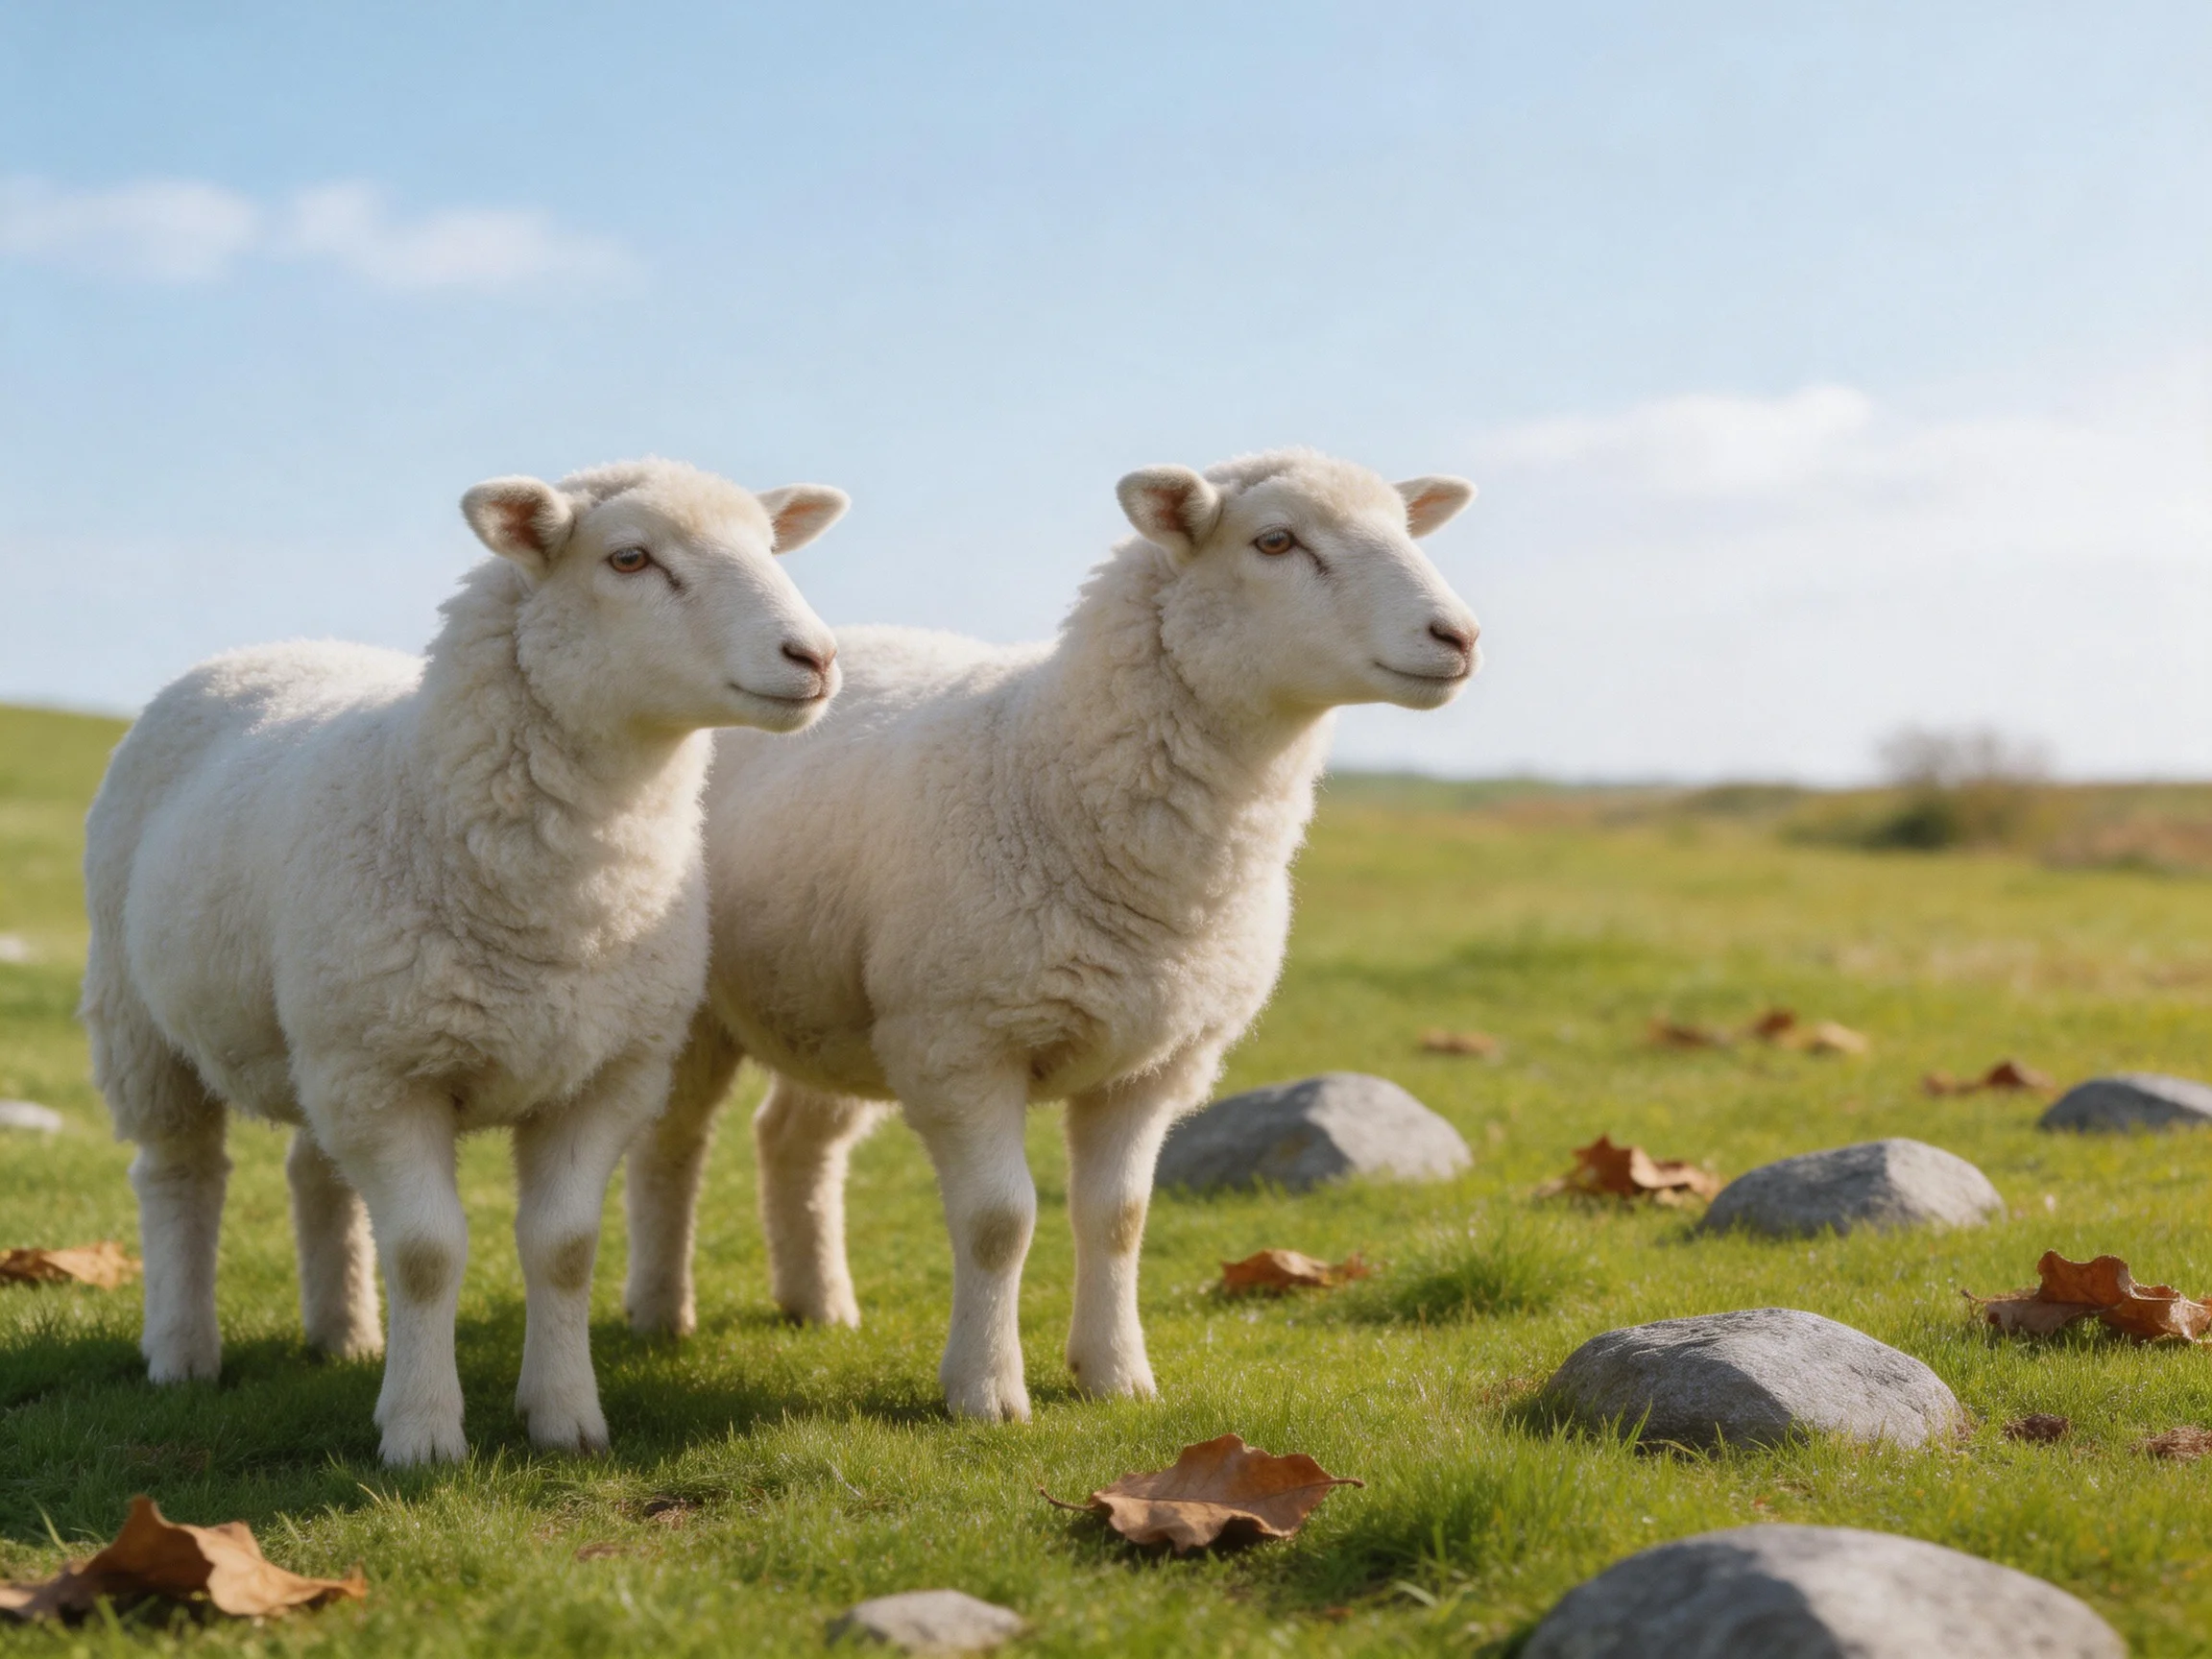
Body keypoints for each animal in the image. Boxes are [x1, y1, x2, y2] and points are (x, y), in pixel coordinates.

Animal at [79, 458, 849, 1465]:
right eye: (629, 558)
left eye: (768, 548)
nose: (816, 658)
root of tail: (271, 646)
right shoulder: (388, 1078)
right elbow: (427, 1253)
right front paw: (421, 1431)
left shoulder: (601, 1075)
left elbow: (564, 1247)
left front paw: (564, 1416)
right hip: (146, 1021)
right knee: (179, 1176)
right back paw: (182, 1351)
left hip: (323, 1027)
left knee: (315, 1174)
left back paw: (344, 1333)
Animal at [622, 447, 1479, 1421]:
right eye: (1275, 541)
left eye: (1405, 529)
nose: (1459, 637)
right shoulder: (961, 1044)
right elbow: (999, 1221)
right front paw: (986, 1391)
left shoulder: (1154, 1062)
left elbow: (1119, 1219)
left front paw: (1116, 1375)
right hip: (711, 1005)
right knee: (673, 1145)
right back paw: (660, 1311)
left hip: (834, 997)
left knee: (795, 1139)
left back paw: (819, 1302)